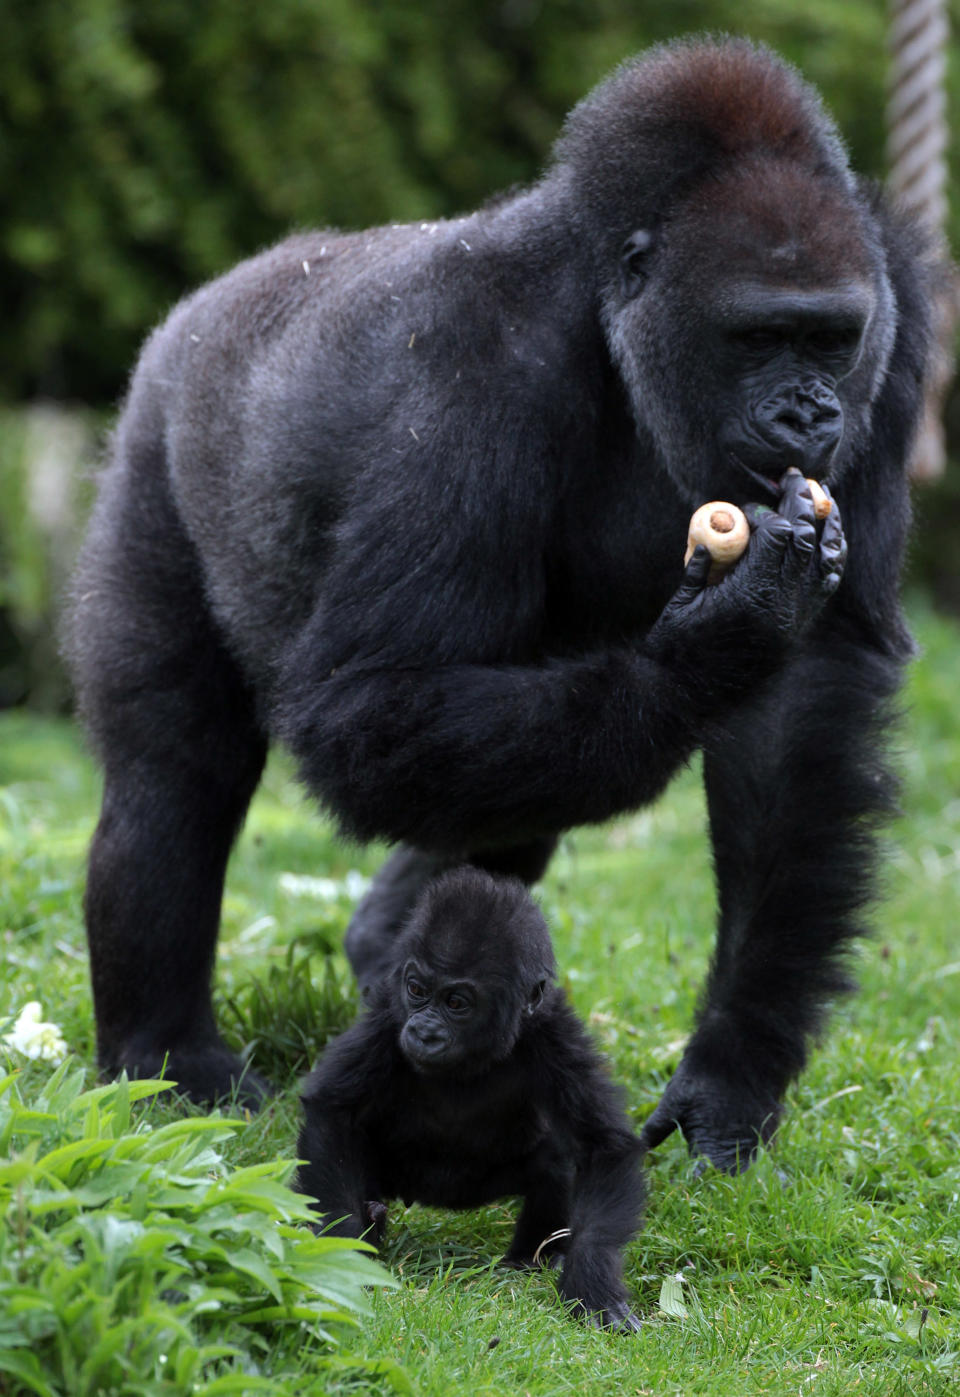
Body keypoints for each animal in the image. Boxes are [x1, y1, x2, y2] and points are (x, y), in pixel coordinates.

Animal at [67, 38, 939, 1167]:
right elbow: (368, 702)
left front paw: (729, 1074)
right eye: (757, 339)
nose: (809, 415)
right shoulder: (476, 357)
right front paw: (721, 638)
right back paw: (166, 1052)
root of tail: (218, 295)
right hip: (158, 435)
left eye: (830, 340)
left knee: (517, 789)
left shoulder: (896, 317)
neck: (617, 302)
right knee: (176, 771)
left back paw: (386, 948)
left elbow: (801, 712)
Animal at [300, 860, 645, 1329]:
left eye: (457, 1003)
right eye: (417, 990)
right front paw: (341, 1261)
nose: (424, 1033)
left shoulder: (555, 1034)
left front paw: (592, 1282)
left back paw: (532, 1258)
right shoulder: (387, 1018)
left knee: (554, 1164)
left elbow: (603, 1146)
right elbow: (332, 1113)